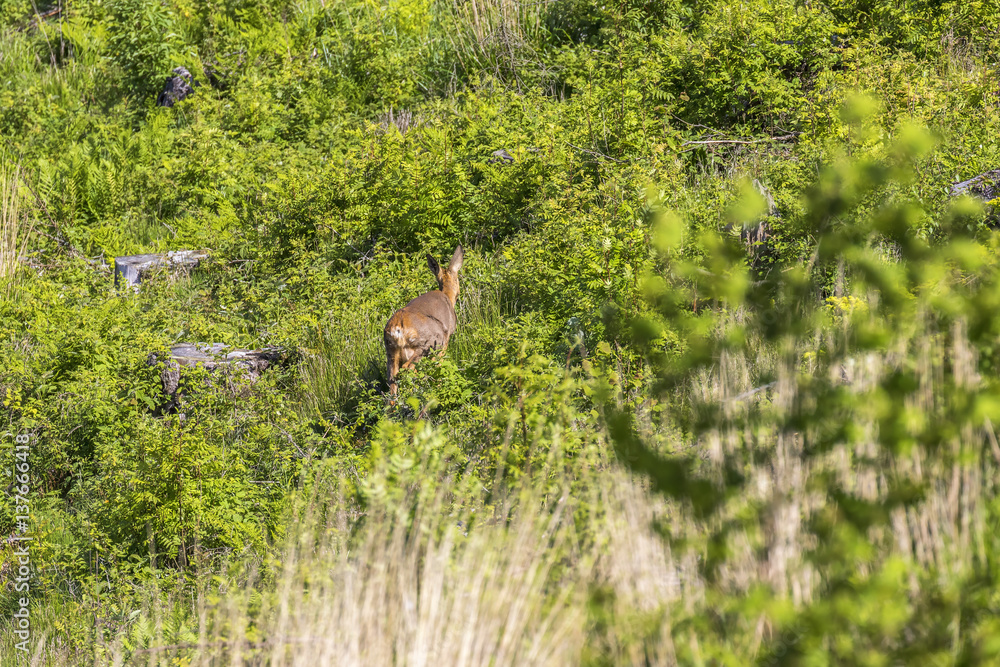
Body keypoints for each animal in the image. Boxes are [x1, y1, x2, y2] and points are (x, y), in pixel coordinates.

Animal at [384, 246, 464, 395]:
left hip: (391, 351)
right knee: (409, 368)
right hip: (426, 344)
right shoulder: (444, 342)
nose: (459, 293)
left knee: (392, 379)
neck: (447, 296)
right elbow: (439, 366)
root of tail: (398, 327)